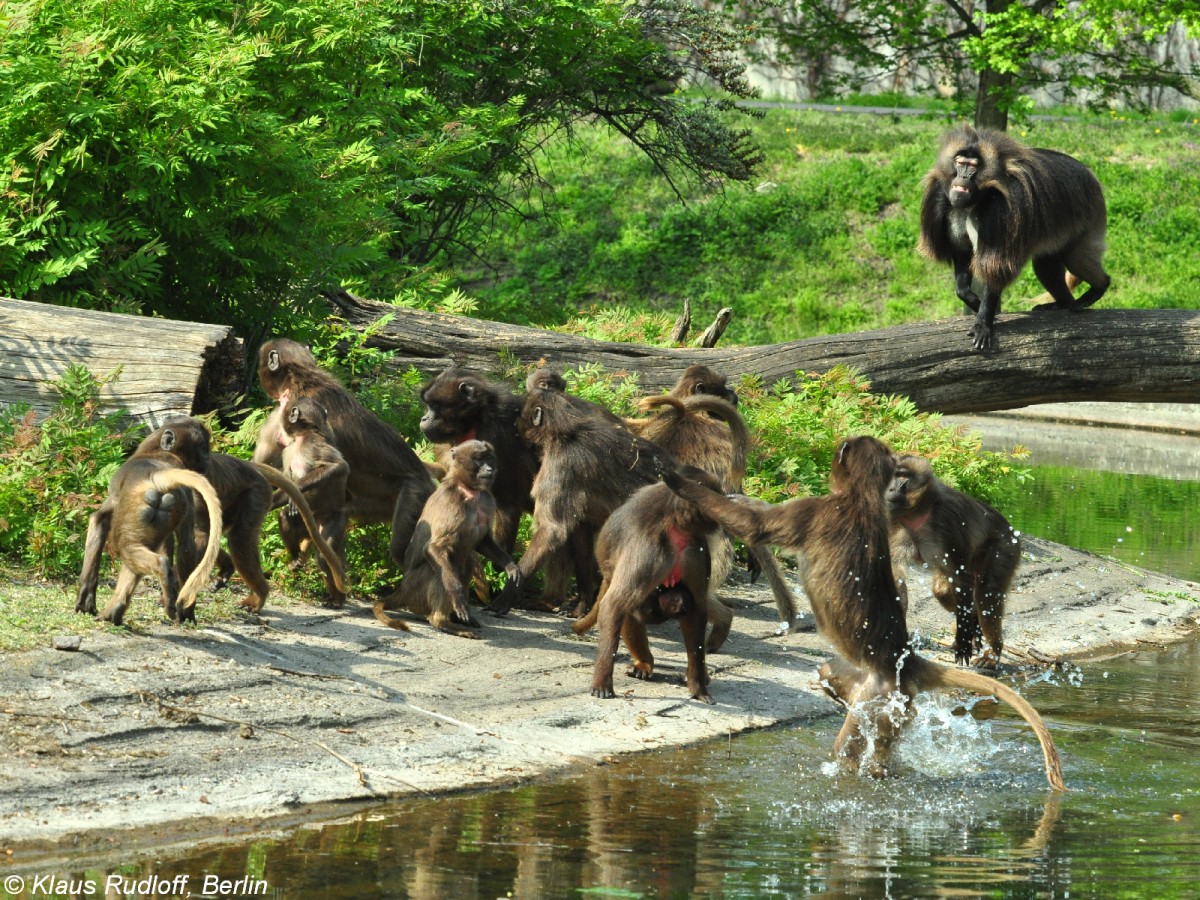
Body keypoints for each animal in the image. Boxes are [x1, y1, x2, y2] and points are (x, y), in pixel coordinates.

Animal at [369, 441, 520, 638]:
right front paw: (458, 597)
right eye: (479, 459)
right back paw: (442, 622)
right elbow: (434, 547)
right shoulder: (451, 502)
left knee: (467, 562)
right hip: (415, 590)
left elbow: (483, 541)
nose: (489, 469)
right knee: (439, 568)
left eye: (489, 458)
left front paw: (511, 567)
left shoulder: (487, 499)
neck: (468, 491)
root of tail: (402, 589)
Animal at [571, 468, 729, 710]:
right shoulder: (647, 551)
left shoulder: (696, 550)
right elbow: (616, 604)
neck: (675, 528)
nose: (724, 511)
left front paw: (697, 685)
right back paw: (645, 662)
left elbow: (697, 609)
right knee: (629, 606)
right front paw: (602, 680)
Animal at [888, 458, 1017, 672]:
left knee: (986, 593)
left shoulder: (948, 521)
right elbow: (895, 575)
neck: (920, 512)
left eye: (903, 476)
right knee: (943, 590)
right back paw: (974, 623)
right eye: (894, 475)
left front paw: (963, 643)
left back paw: (993, 651)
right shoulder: (894, 522)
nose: (890, 488)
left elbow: (961, 578)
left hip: (1005, 548)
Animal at [921, 125, 1108, 350]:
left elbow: (995, 267)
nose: (963, 177)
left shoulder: (999, 209)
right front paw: (972, 300)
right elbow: (963, 254)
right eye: (960, 163)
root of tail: (1091, 176)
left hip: (1088, 218)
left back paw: (1097, 289)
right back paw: (1063, 304)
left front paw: (983, 323)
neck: (978, 198)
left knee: (1076, 259)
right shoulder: (951, 206)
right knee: (1045, 266)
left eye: (973, 166)